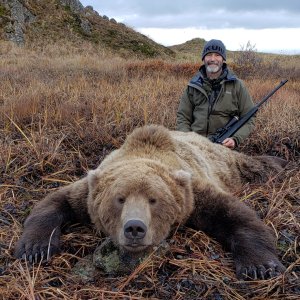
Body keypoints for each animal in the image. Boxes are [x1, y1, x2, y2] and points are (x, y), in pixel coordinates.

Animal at [15, 124, 288, 278]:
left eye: (154, 200)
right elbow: (55, 201)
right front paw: (35, 249)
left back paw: (280, 162)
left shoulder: (192, 192)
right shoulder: (88, 192)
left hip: (229, 163)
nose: (135, 227)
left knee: (252, 164)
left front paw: (260, 266)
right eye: (120, 199)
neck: (144, 150)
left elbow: (235, 214)